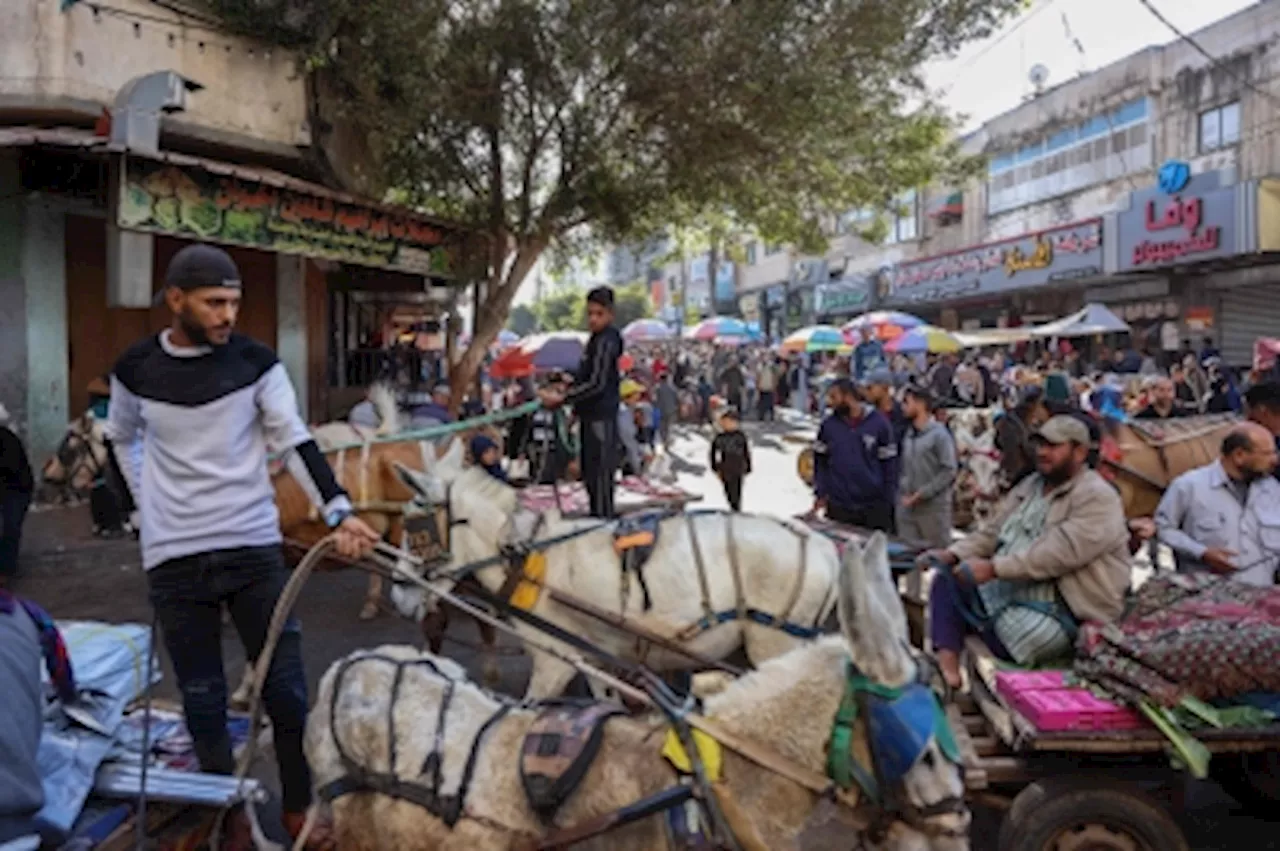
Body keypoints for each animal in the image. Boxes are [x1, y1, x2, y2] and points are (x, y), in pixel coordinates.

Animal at [394, 435, 844, 701]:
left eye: (415, 526)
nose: (398, 589)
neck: (522, 555)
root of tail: (823, 548)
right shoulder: (590, 657)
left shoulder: (556, 658)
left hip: (774, 644)